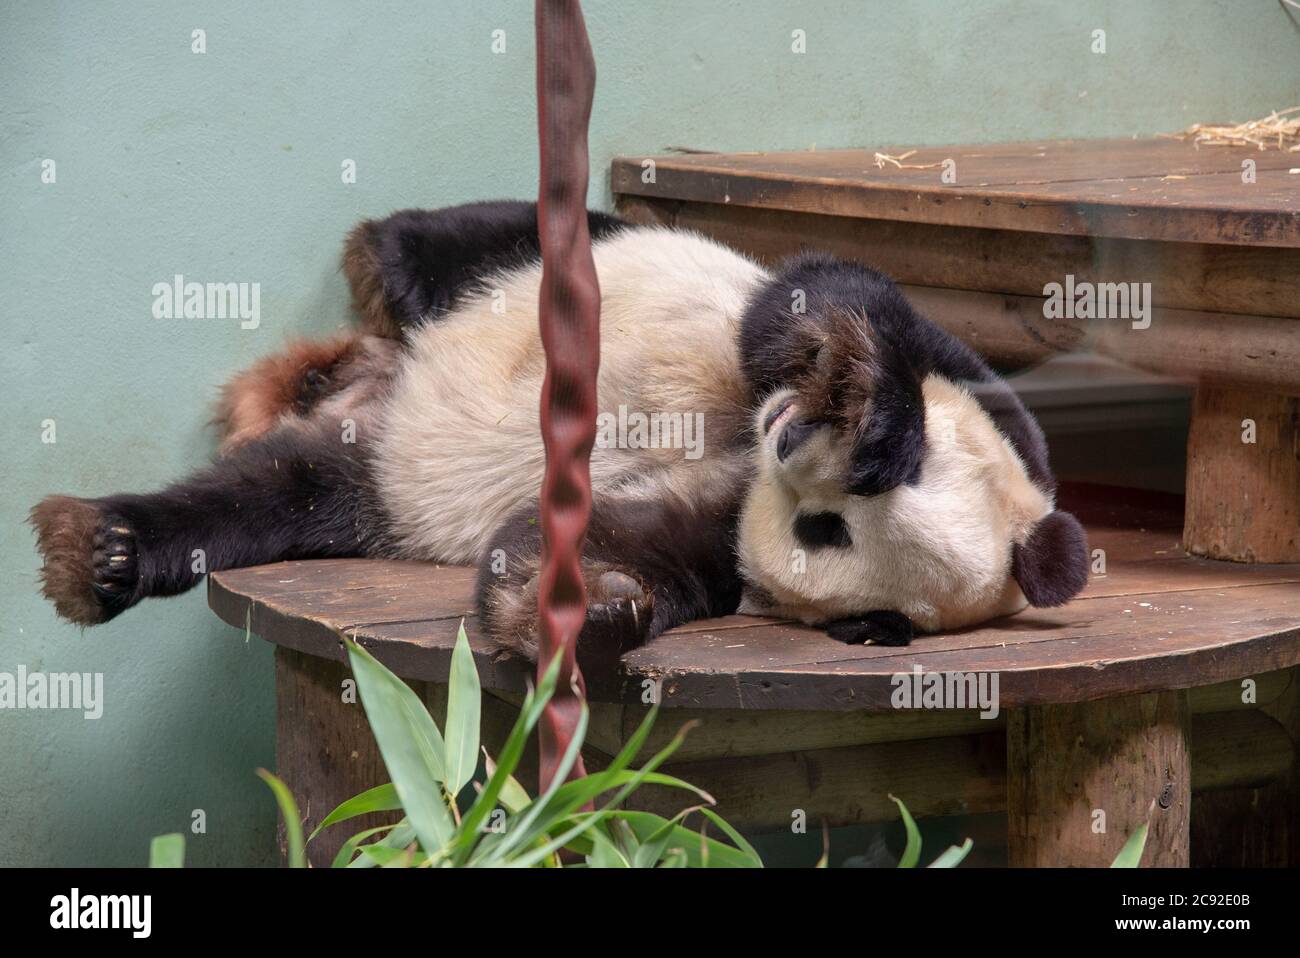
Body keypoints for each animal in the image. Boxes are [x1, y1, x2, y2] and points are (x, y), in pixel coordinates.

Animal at [30, 200, 1086, 665]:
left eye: (828, 536)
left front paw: (592, 609)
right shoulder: (977, 391)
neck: (743, 455)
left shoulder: (714, 531)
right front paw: (867, 404)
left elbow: (588, 543)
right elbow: (818, 298)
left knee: (275, 493)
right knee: (462, 241)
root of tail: (369, 384)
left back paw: (110, 551)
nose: (792, 452)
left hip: (372, 479)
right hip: (535, 268)